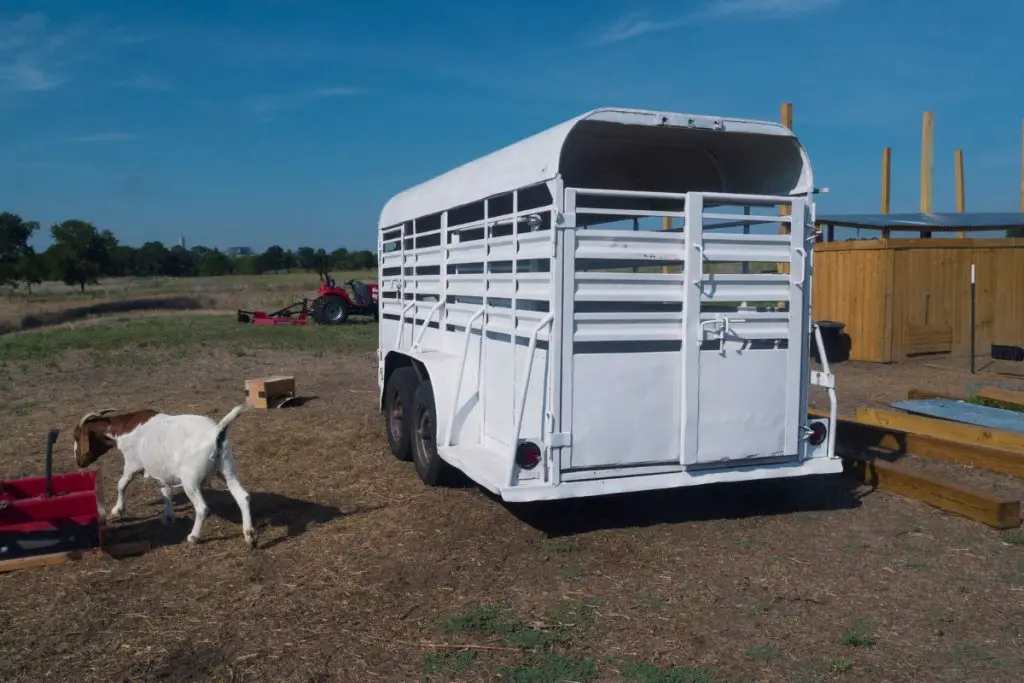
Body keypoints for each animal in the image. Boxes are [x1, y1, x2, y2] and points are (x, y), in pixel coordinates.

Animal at [73, 403, 254, 548]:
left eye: (77, 436)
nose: (79, 462)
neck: (124, 429)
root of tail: (216, 432)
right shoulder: (162, 472)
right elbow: (166, 491)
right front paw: (168, 517)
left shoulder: (132, 463)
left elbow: (122, 483)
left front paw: (117, 510)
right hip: (227, 471)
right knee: (243, 497)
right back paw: (250, 536)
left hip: (190, 481)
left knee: (202, 508)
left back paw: (193, 537)